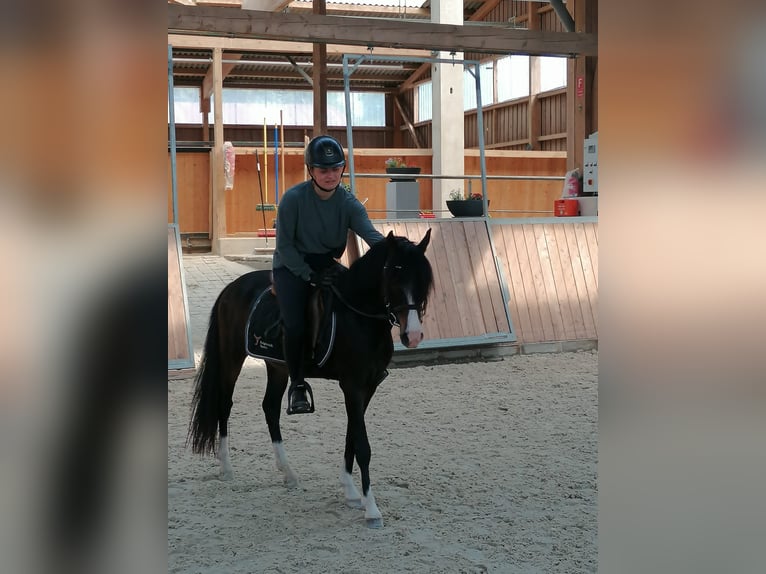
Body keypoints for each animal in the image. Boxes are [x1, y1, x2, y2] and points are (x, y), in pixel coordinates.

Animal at [190, 232, 436, 528]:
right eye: (392, 275)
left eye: (422, 280)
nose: (413, 336)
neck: (359, 317)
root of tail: (232, 288)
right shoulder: (352, 386)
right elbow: (363, 445)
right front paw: (372, 509)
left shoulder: (368, 387)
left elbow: (351, 437)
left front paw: (351, 492)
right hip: (231, 357)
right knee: (224, 405)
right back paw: (226, 467)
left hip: (278, 366)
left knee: (270, 408)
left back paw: (288, 473)